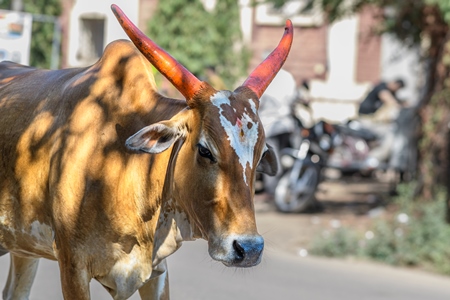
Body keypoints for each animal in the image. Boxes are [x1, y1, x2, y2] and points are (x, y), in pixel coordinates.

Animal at [0, 4, 294, 300]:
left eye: (260, 155)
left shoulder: (157, 272)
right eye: (204, 150)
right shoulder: (72, 265)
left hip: (24, 248)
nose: (249, 249)